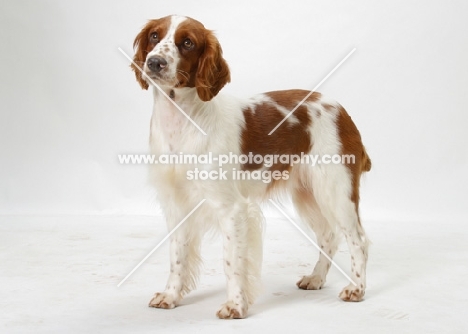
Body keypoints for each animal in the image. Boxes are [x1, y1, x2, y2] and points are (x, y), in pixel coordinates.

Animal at [131, 15, 370, 318]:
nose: (155, 62)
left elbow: (231, 262)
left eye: (187, 42)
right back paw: (316, 278)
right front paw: (171, 296)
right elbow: (177, 257)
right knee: (329, 236)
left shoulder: (230, 208)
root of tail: (342, 110)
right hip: (307, 194)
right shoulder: (177, 205)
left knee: (358, 240)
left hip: (337, 190)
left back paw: (357, 289)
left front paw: (235, 305)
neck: (183, 121)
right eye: (154, 36)